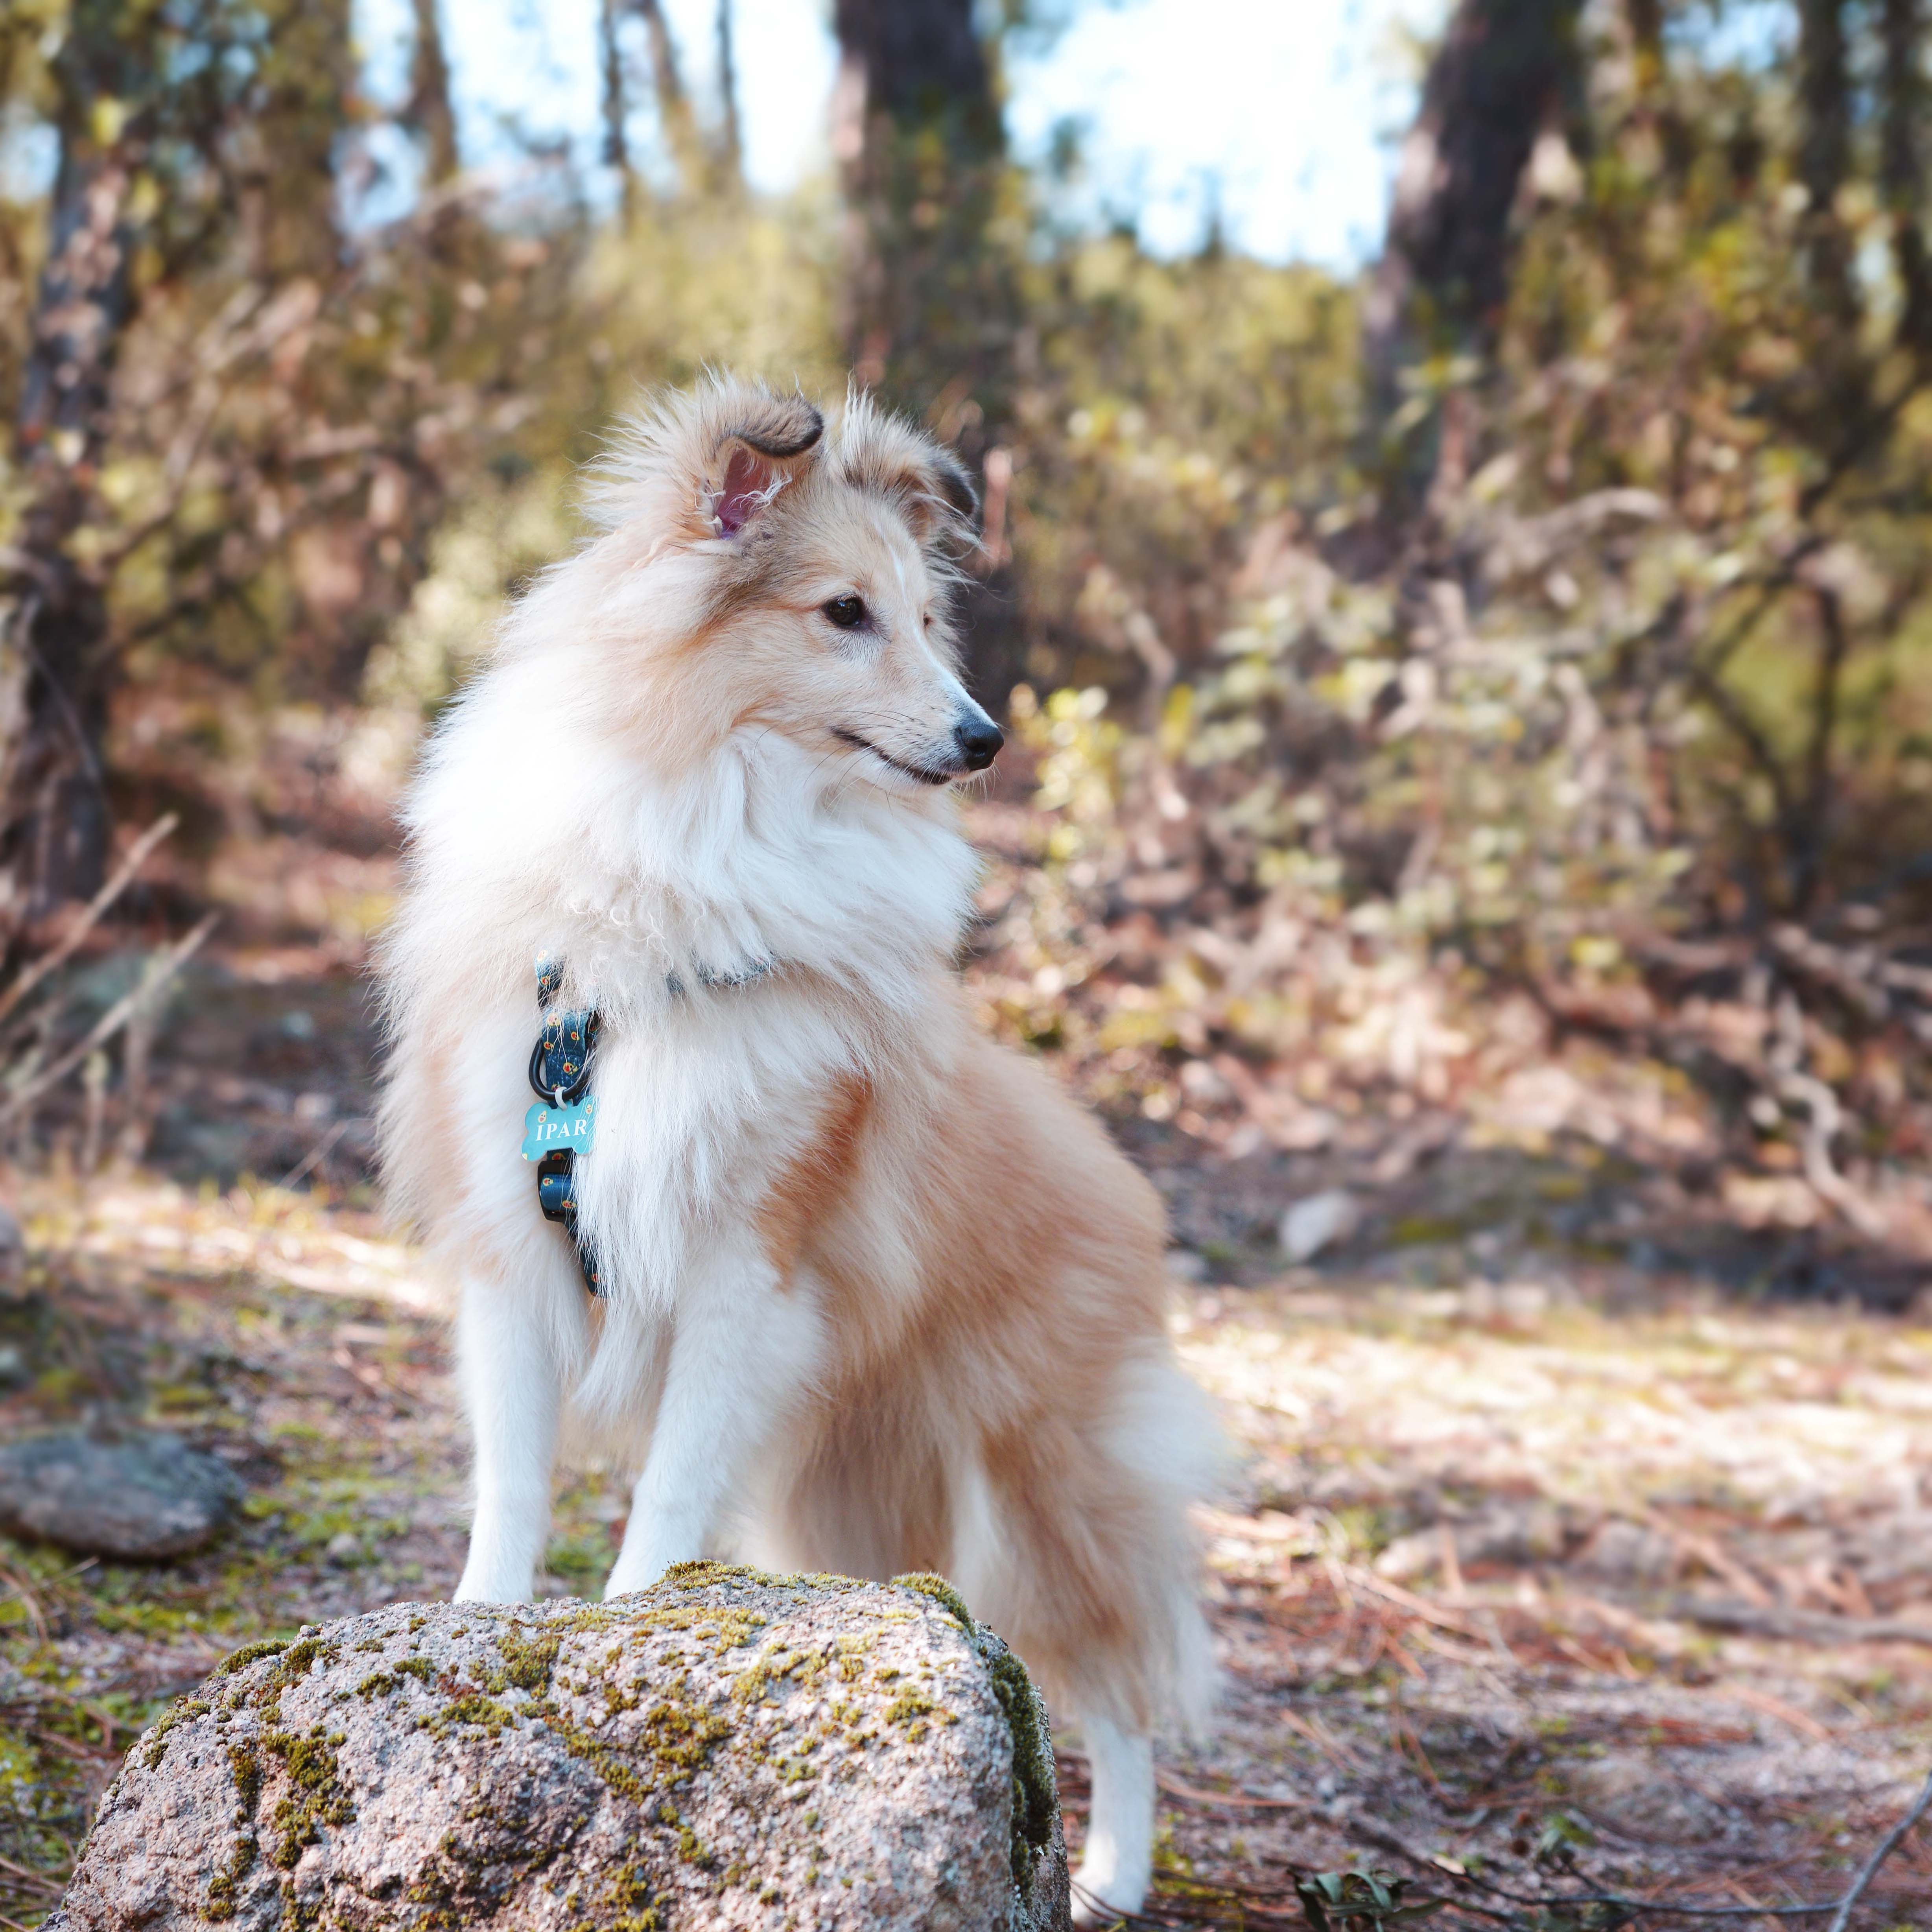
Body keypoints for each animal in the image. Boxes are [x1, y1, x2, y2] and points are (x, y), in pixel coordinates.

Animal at [376, 373, 1213, 1916]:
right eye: (843, 612)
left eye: (928, 617)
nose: (984, 740)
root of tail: (1118, 1177)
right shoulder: (516, 1258)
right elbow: (511, 1486)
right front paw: (473, 1636)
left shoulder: (749, 1273)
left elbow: (662, 1503)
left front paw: (634, 1641)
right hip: (847, 1496)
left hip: (1033, 1482)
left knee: (1119, 1686)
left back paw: (1110, 1875)